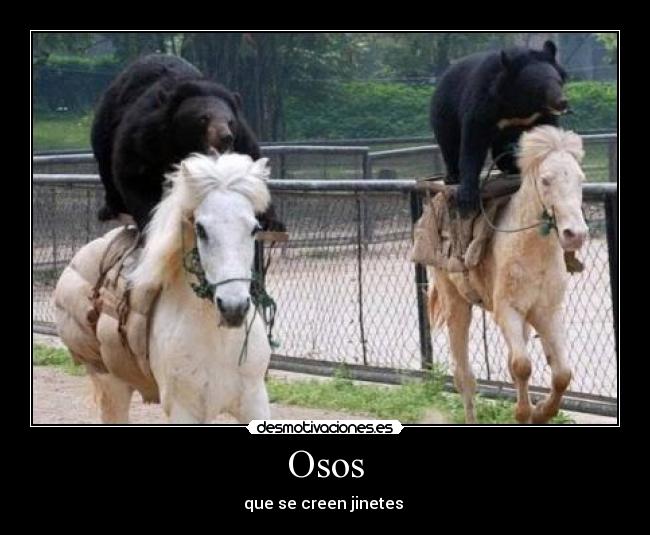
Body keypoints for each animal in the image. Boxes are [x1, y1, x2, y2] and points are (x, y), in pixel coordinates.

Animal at [91, 54, 280, 231]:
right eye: (203, 118)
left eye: (230, 121)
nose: (225, 137)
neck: (183, 144)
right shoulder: (144, 138)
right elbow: (137, 176)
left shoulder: (241, 138)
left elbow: (251, 165)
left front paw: (271, 221)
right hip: (105, 127)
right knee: (106, 165)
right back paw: (110, 209)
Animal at [430, 40, 568, 217]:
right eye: (540, 87)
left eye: (558, 82)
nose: (562, 102)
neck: (522, 104)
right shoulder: (484, 102)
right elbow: (473, 141)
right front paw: (467, 197)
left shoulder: (541, 115)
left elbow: (549, 134)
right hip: (445, 111)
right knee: (449, 142)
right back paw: (452, 176)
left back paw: (512, 166)